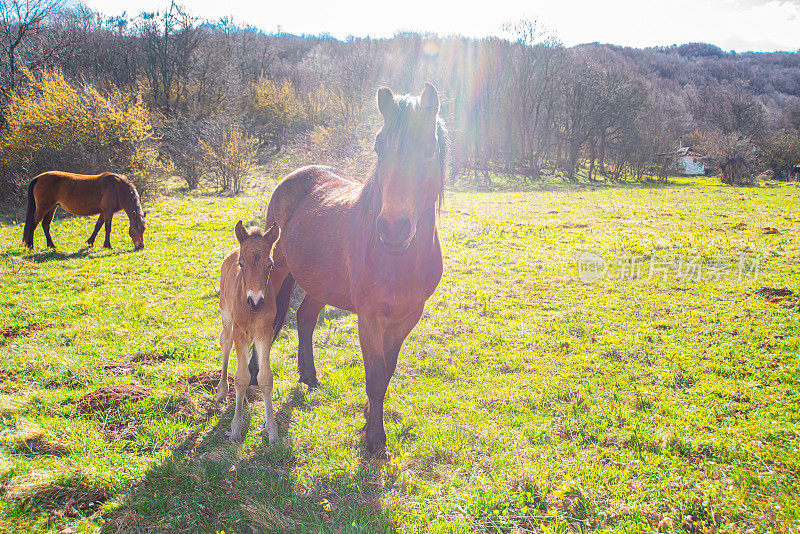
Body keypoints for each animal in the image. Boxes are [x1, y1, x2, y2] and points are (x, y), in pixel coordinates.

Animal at [217, 222, 282, 444]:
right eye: (241, 264)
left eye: (270, 264)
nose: (255, 302)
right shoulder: (240, 333)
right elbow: (241, 378)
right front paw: (236, 428)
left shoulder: (265, 333)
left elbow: (265, 378)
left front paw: (272, 430)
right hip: (226, 315)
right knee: (226, 344)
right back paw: (222, 391)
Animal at [264, 82, 446, 456]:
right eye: (378, 147)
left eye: (428, 149)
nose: (393, 229)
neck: (398, 260)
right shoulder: (369, 316)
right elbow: (375, 375)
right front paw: (375, 439)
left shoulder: (408, 315)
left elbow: (387, 372)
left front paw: (368, 420)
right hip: (278, 272)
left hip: (320, 282)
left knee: (305, 318)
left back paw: (309, 377)